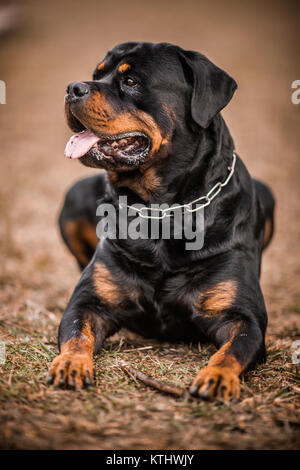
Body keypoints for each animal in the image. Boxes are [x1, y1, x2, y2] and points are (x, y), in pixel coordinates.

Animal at [48, 42, 276, 400]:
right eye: (97, 74)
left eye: (131, 82)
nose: (73, 88)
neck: (161, 210)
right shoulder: (88, 303)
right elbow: (76, 333)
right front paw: (71, 363)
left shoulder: (243, 318)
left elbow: (233, 349)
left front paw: (217, 377)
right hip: (75, 194)